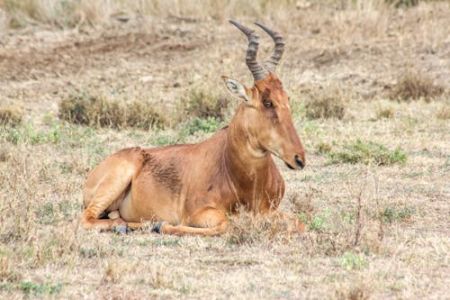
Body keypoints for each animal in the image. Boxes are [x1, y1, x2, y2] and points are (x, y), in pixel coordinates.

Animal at [81, 20, 306, 237]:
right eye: (267, 102)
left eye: (286, 98)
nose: (299, 159)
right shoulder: (197, 213)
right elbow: (224, 225)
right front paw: (161, 226)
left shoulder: (271, 210)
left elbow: (300, 224)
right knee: (85, 219)